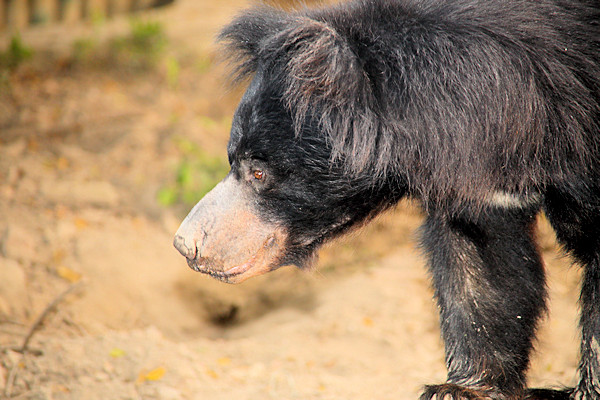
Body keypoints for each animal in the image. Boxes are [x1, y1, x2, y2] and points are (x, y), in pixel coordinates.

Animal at [173, 0, 600, 398]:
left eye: (259, 172)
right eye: (233, 159)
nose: (186, 245)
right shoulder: (481, 181)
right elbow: (481, 264)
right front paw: (462, 388)